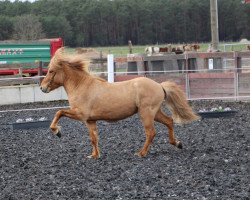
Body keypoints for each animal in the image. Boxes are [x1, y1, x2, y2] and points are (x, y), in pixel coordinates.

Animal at [41, 48, 201, 158]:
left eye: (51, 71)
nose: (42, 88)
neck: (82, 86)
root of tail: (159, 85)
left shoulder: (80, 115)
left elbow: (59, 112)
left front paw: (57, 131)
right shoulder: (90, 120)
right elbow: (93, 138)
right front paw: (94, 155)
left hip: (146, 113)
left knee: (151, 132)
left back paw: (141, 153)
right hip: (155, 112)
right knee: (169, 121)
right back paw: (177, 144)